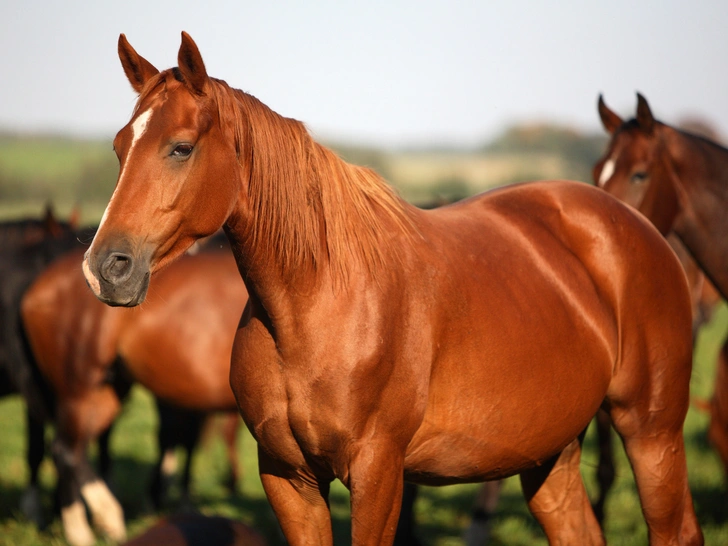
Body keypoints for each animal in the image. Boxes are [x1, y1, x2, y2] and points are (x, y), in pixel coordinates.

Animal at [19, 246, 247, 544]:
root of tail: (37, 286)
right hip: (77, 392)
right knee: (65, 452)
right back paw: (82, 531)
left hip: (106, 393)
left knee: (72, 450)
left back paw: (108, 517)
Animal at [82, 34, 704, 544]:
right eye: (118, 147)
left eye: (181, 147)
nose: (105, 268)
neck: (317, 304)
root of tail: (633, 225)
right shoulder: (288, 477)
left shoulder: (378, 474)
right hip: (550, 453)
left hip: (651, 432)